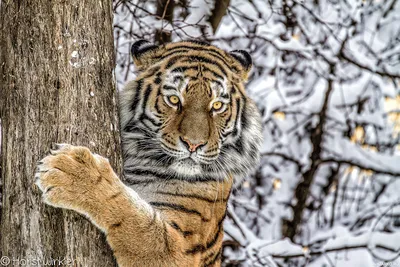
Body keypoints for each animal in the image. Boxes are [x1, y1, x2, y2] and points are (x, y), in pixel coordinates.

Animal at [36, 40, 264, 267]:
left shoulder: (182, 249)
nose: (193, 144)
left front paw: (72, 173)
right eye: (173, 99)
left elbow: (136, 216)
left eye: (217, 105)